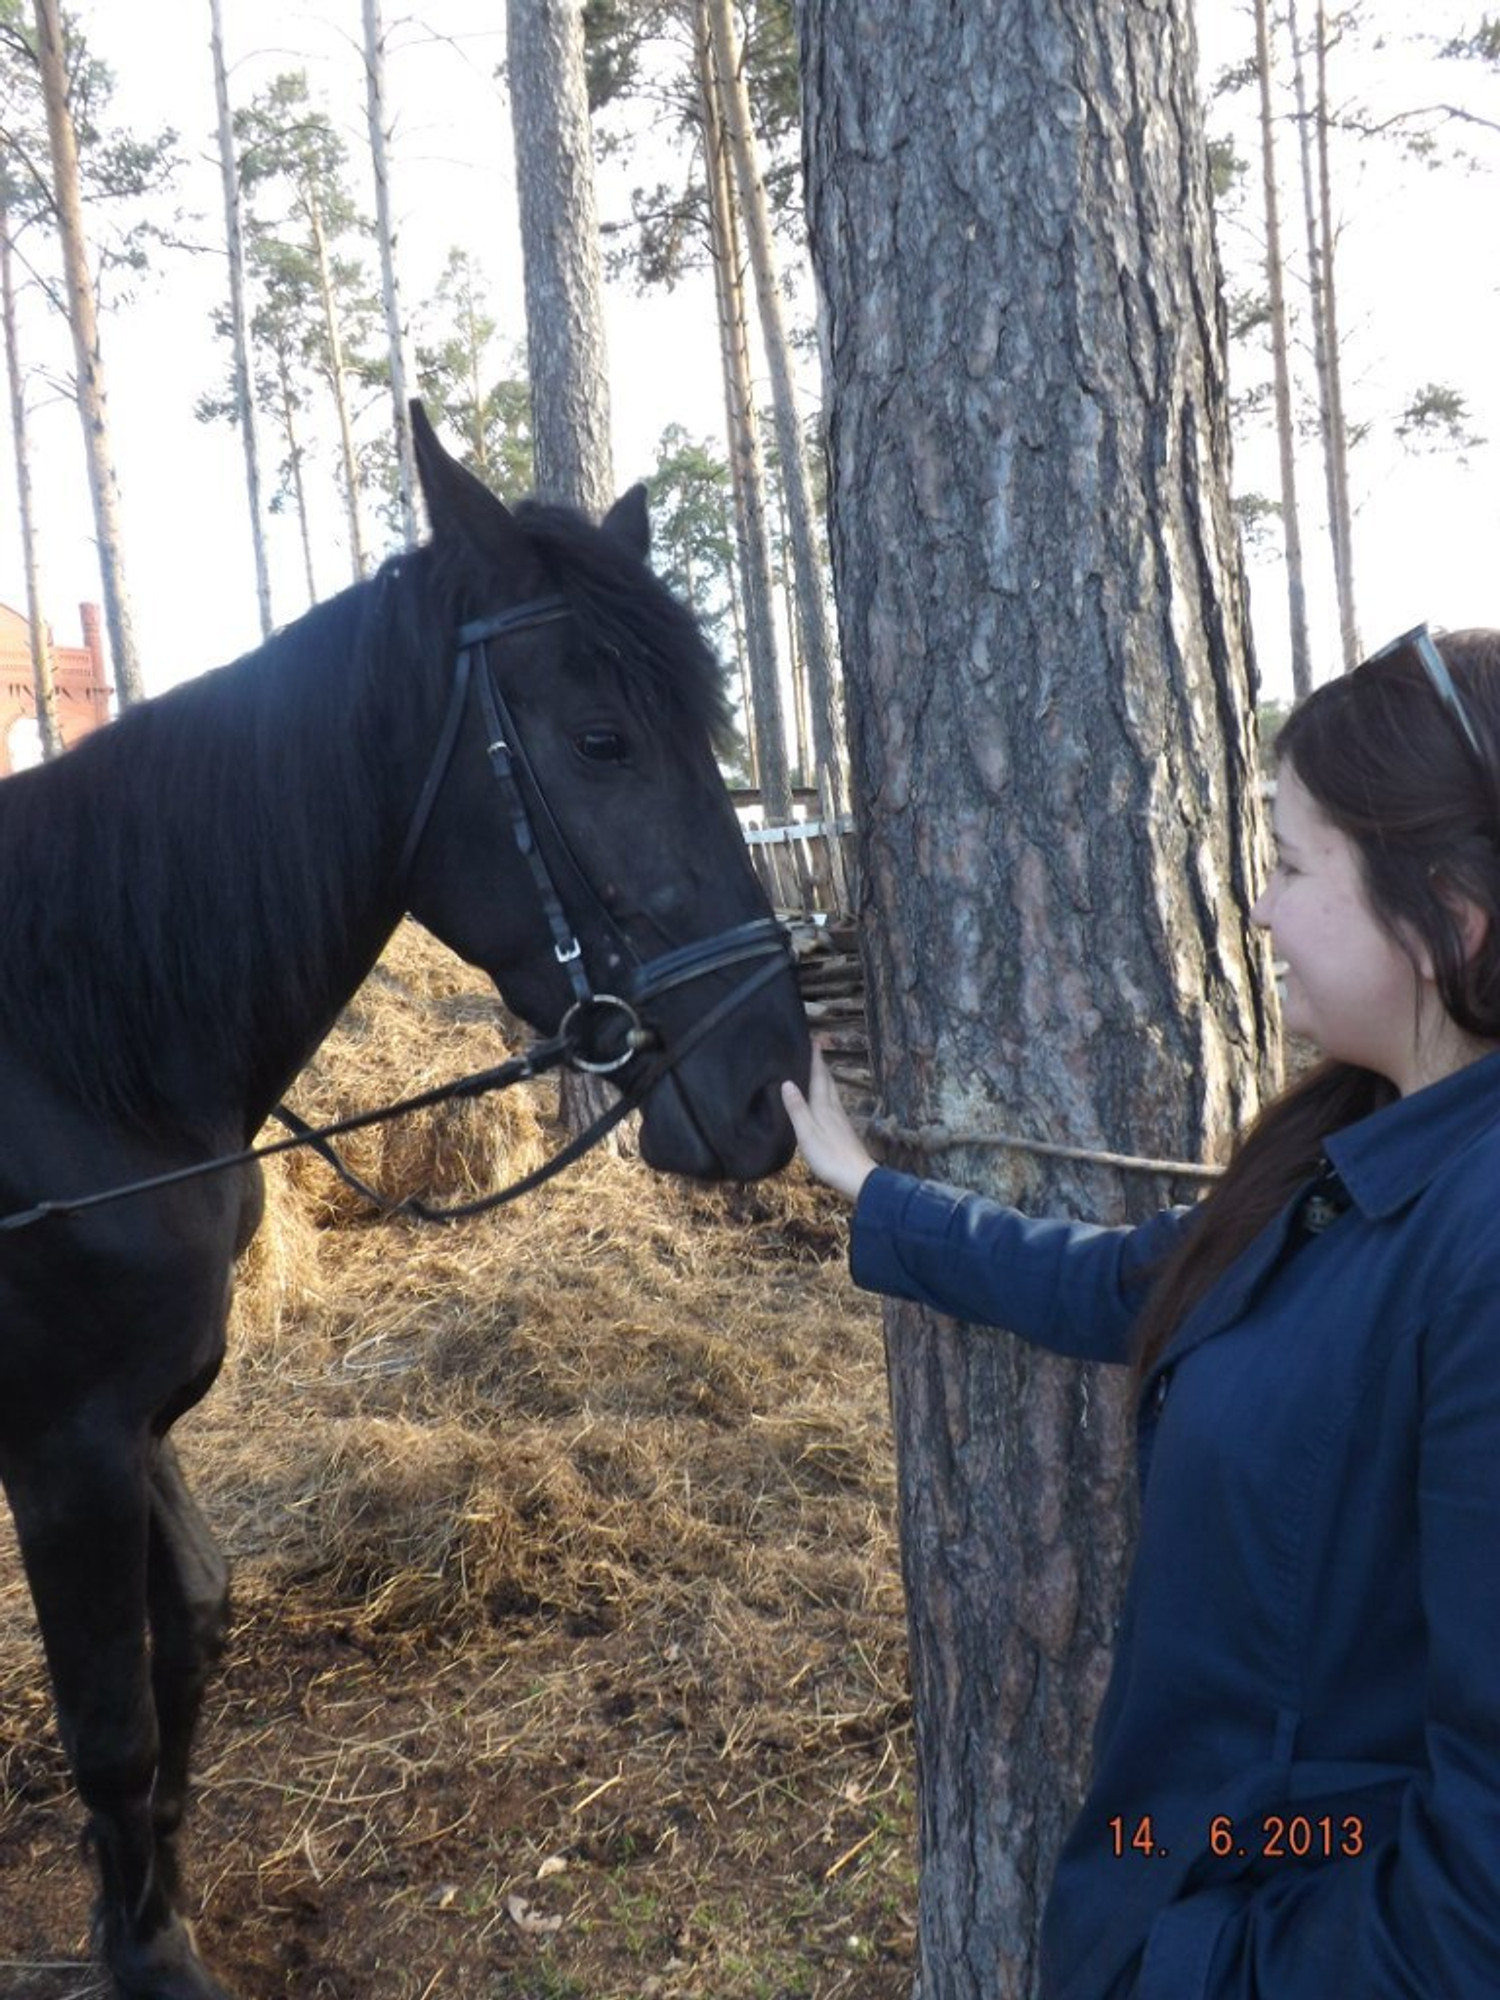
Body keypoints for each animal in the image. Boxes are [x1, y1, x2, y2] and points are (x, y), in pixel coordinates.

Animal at [0, 410, 812, 2000]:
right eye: (602, 740)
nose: (769, 1082)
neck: (72, 1043)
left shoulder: (140, 1418)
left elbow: (193, 1627)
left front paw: (149, 1915)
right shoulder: (64, 1444)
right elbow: (112, 1721)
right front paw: (150, 1958)